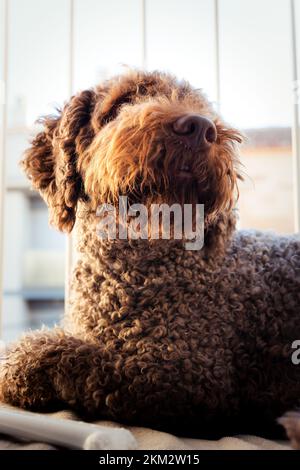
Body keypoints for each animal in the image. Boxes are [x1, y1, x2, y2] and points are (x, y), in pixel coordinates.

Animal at [0, 69, 300, 444]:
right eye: (124, 101)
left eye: (202, 106)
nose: (200, 127)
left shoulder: (187, 375)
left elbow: (74, 356)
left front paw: (22, 361)